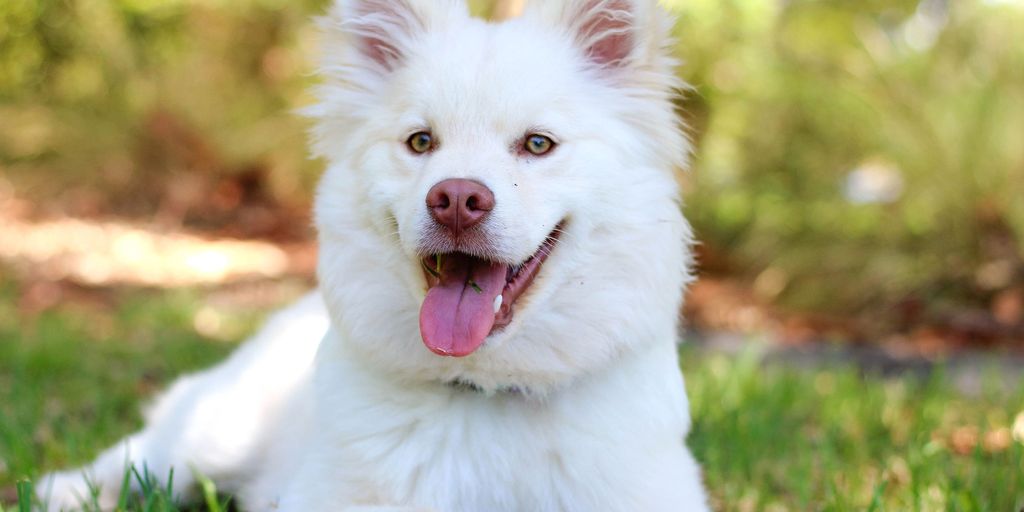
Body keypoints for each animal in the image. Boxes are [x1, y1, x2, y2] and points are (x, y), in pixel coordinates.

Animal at [41, 2, 712, 509]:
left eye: (538, 145)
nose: (457, 200)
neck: (485, 391)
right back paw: (61, 491)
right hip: (212, 435)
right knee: (136, 458)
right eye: (420, 142)